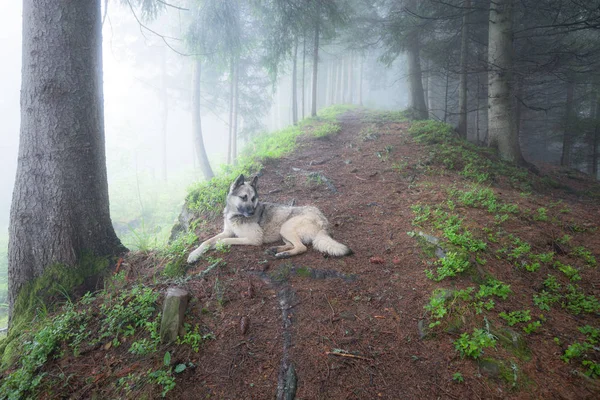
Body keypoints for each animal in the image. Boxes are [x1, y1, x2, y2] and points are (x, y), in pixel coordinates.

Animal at [185, 174, 350, 262]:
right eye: (244, 197)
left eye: (253, 199)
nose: (252, 212)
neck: (235, 214)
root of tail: (324, 223)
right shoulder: (227, 232)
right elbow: (206, 242)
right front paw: (194, 254)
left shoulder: (253, 239)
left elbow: (225, 241)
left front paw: (217, 245)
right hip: (284, 232)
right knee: (293, 244)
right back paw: (277, 249)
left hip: (286, 227)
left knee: (301, 247)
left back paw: (283, 254)